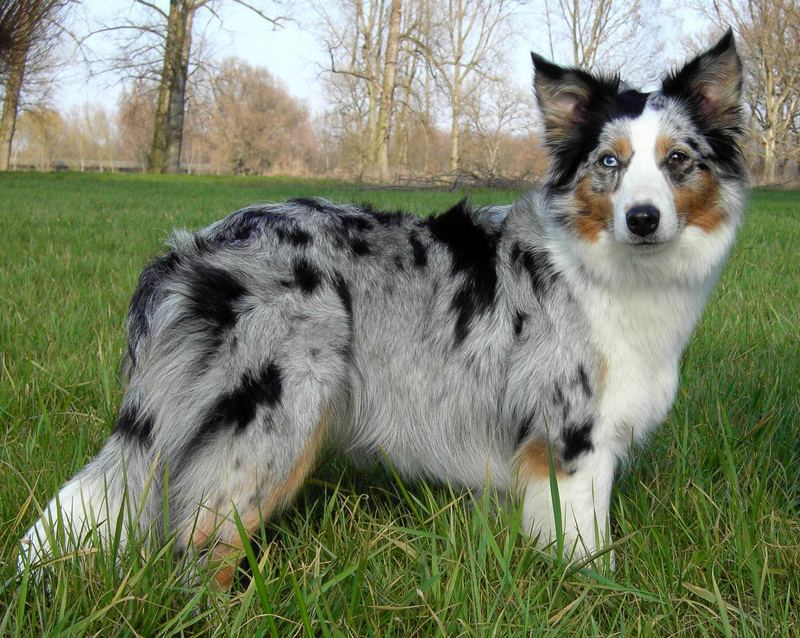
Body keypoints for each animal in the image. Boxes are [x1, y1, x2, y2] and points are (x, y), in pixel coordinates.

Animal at [18, 31, 744, 592]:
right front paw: (599, 596)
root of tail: (193, 248)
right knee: (202, 542)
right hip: (279, 420)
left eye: (679, 160)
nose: (642, 218)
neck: (612, 269)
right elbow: (588, 552)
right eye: (610, 162)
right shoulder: (573, 441)